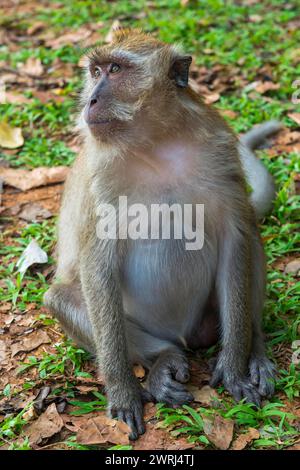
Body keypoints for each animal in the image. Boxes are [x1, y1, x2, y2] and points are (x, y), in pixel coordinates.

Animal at [43, 28, 278, 440]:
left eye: (115, 69)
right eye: (95, 71)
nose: (91, 99)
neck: (156, 143)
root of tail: (185, 334)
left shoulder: (219, 147)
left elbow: (236, 238)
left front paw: (235, 365)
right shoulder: (101, 176)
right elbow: (97, 263)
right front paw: (123, 390)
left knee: (251, 236)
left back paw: (256, 350)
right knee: (63, 298)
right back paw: (163, 358)